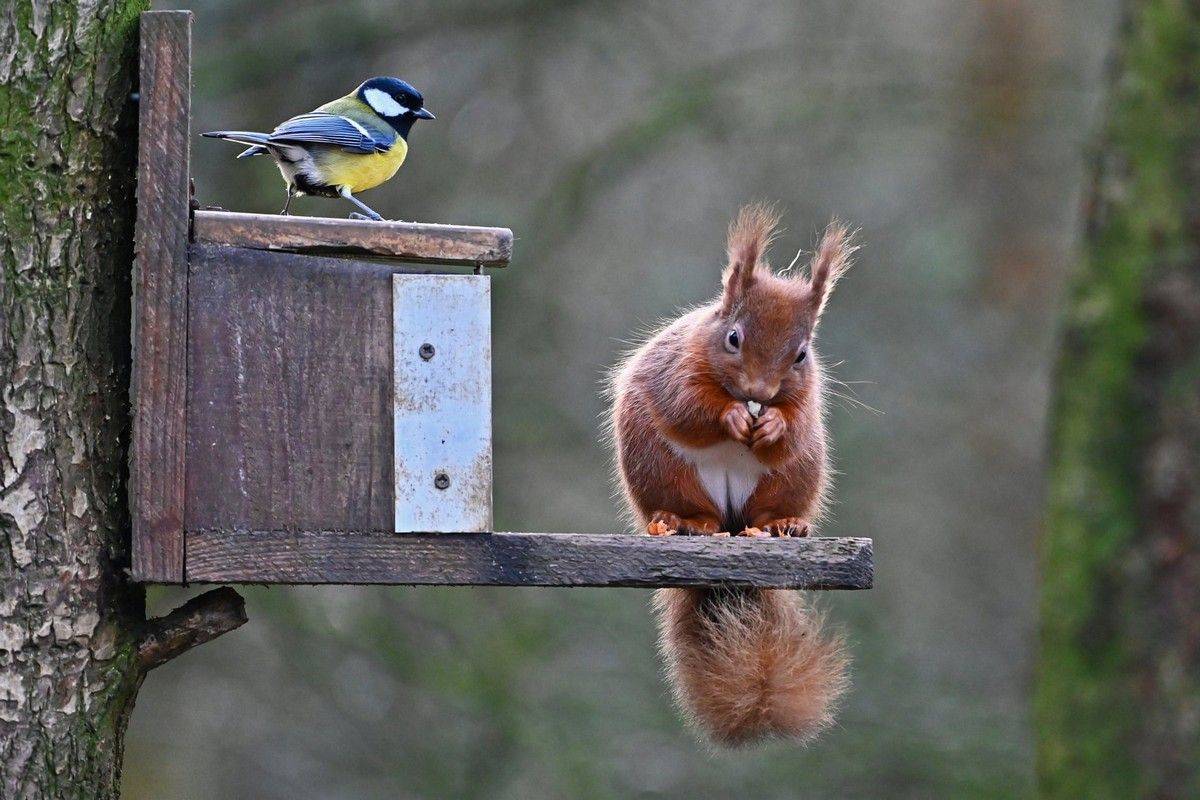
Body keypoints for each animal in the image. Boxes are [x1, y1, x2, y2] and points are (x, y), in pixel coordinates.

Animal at [609, 203, 854, 748]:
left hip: (795, 474)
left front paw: (773, 424)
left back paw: (784, 524)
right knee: (690, 506)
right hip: (663, 468)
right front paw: (731, 417)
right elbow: (690, 407)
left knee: (771, 506)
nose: (760, 392)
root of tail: (730, 520)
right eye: (733, 338)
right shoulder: (678, 371)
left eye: (802, 354)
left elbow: (793, 426)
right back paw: (685, 522)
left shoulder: (806, 399)